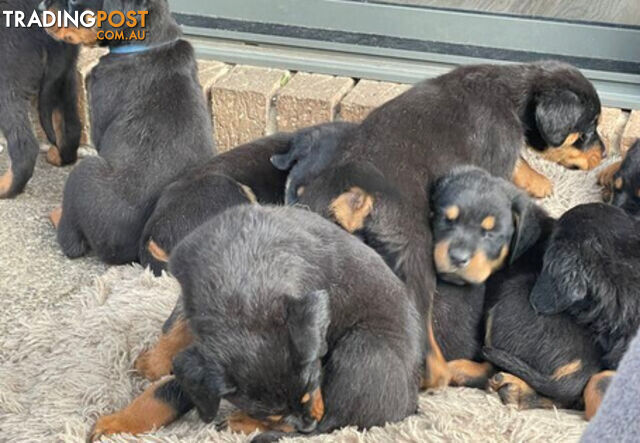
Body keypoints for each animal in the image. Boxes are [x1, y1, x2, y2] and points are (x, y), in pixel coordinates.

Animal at [0, 0, 81, 198]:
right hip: (65, 76)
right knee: (71, 128)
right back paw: (59, 156)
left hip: (5, 80)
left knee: (25, 149)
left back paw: (5, 188)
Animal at [45, 0, 216, 264]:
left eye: (74, 3)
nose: (41, 7)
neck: (150, 44)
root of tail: (132, 254)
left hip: (84, 171)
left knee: (72, 243)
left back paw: (57, 216)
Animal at [87, 206, 422, 442]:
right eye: (272, 413)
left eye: (313, 384)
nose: (307, 419)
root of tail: (411, 404)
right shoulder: (192, 297)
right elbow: (178, 328)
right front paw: (154, 363)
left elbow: (171, 389)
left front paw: (117, 423)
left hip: (361, 346)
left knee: (330, 425)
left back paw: (240, 422)